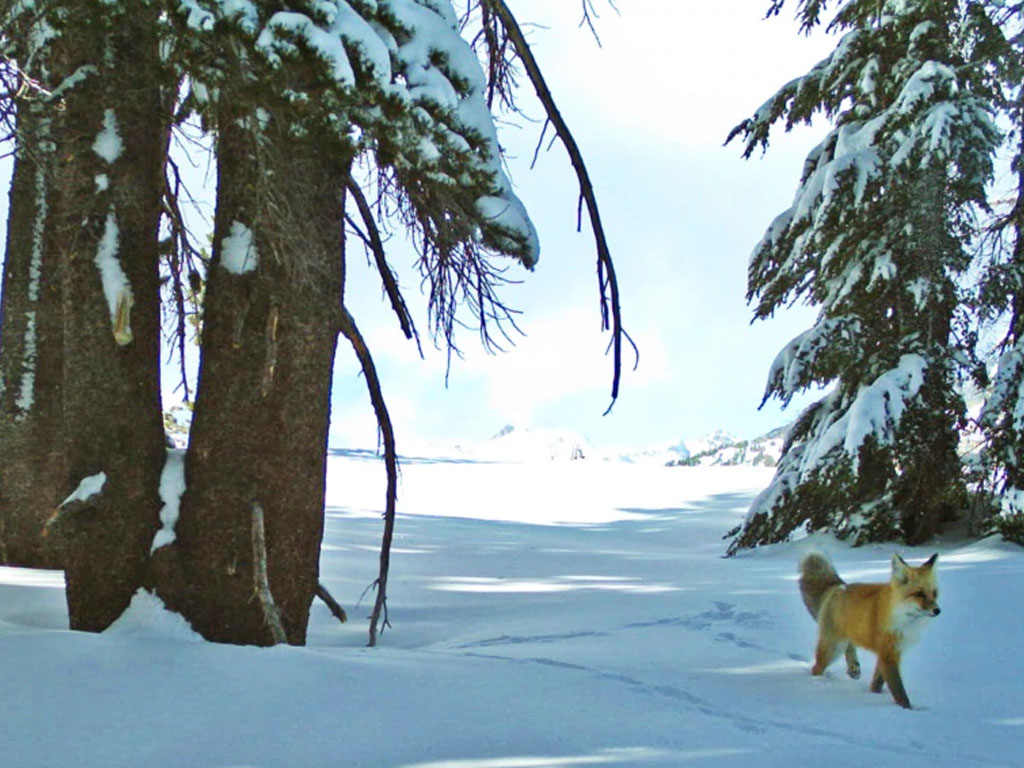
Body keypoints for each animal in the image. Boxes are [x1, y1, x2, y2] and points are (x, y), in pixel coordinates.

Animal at [794, 552, 937, 708]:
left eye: (934, 593)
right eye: (919, 594)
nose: (938, 610)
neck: (904, 621)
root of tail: (837, 587)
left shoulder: (891, 652)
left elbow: (877, 683)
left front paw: (874, 695)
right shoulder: (888, 654)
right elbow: (899, 691)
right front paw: (907, 709)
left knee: (850, 646)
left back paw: (853, 668)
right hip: (833, 649)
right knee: (816, 668)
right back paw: (816, 683)